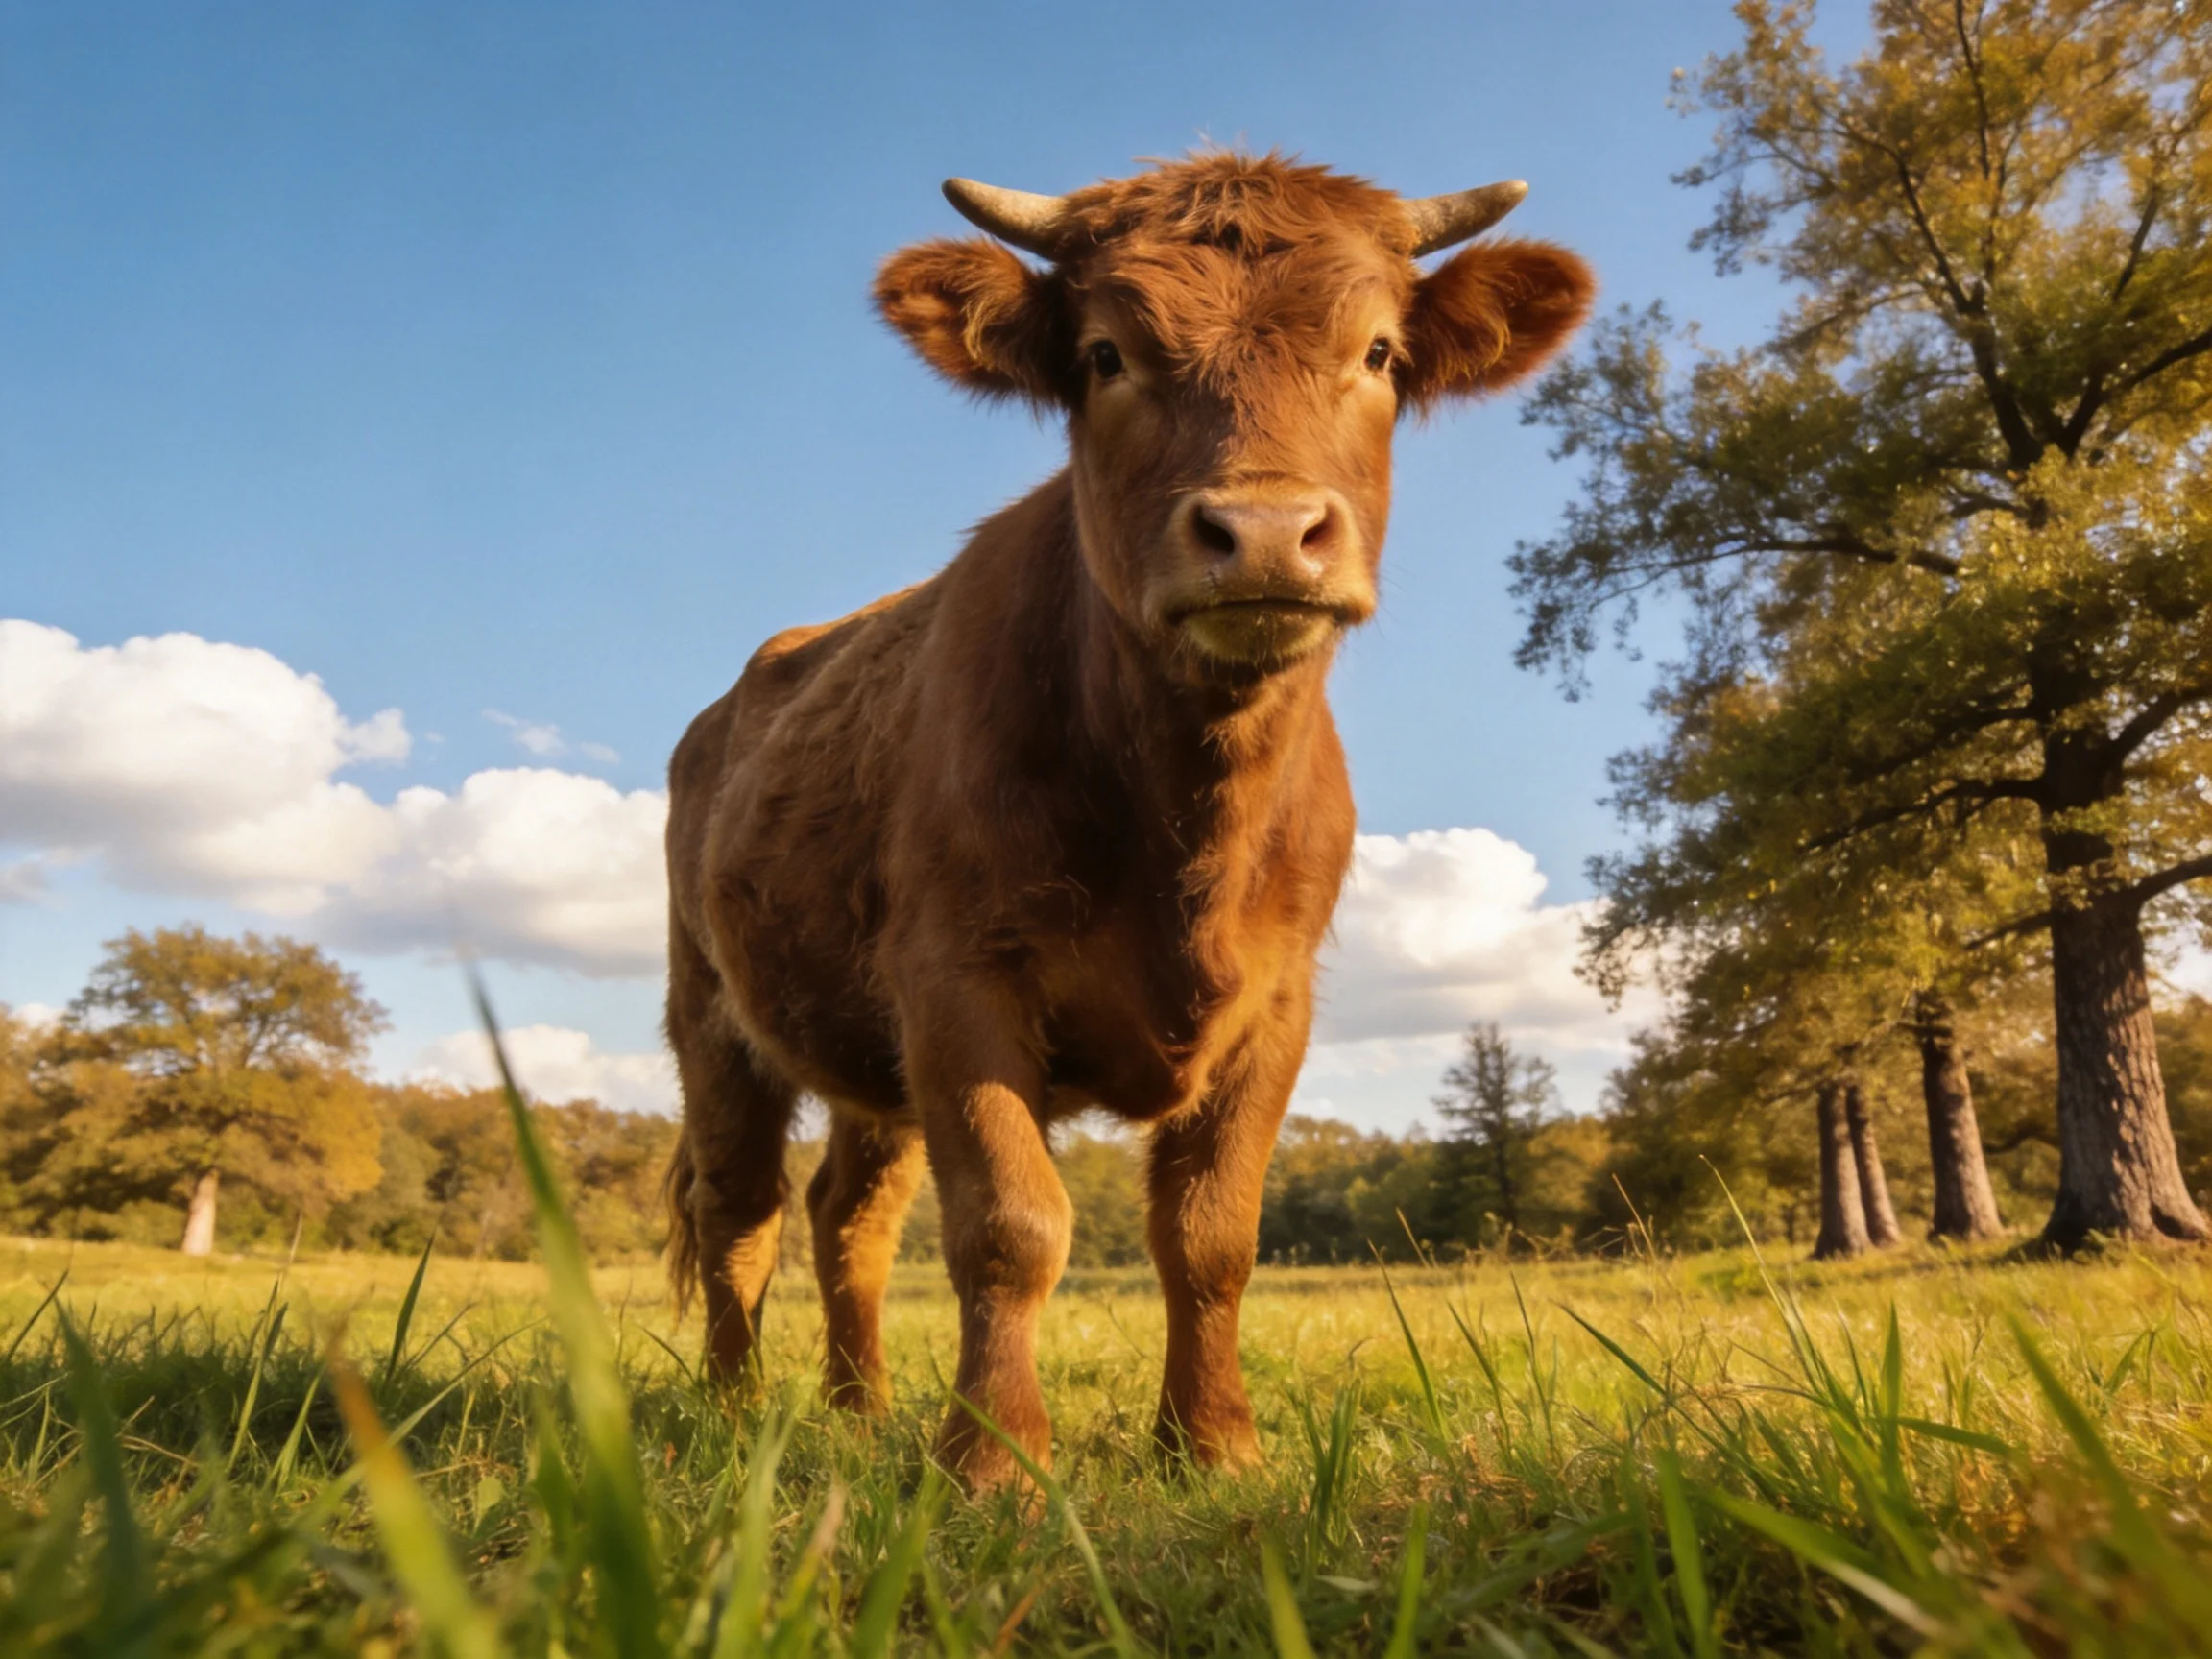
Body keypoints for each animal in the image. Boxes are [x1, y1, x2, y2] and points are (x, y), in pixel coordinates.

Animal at [664, 152, 1592, 1489]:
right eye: (1105, 355)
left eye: (1376, 352)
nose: (1264, 533)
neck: (1187, 818)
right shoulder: (954, 980)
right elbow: (1011, 1226)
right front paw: (994, 1459)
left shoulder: (1278, 1002)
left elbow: (1211, 1236)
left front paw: (1214, 1445)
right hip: (712, 1012)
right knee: (738, 1208)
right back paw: (736, 1415)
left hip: (865, 1060)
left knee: (849, 1213)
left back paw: (858, 1410)